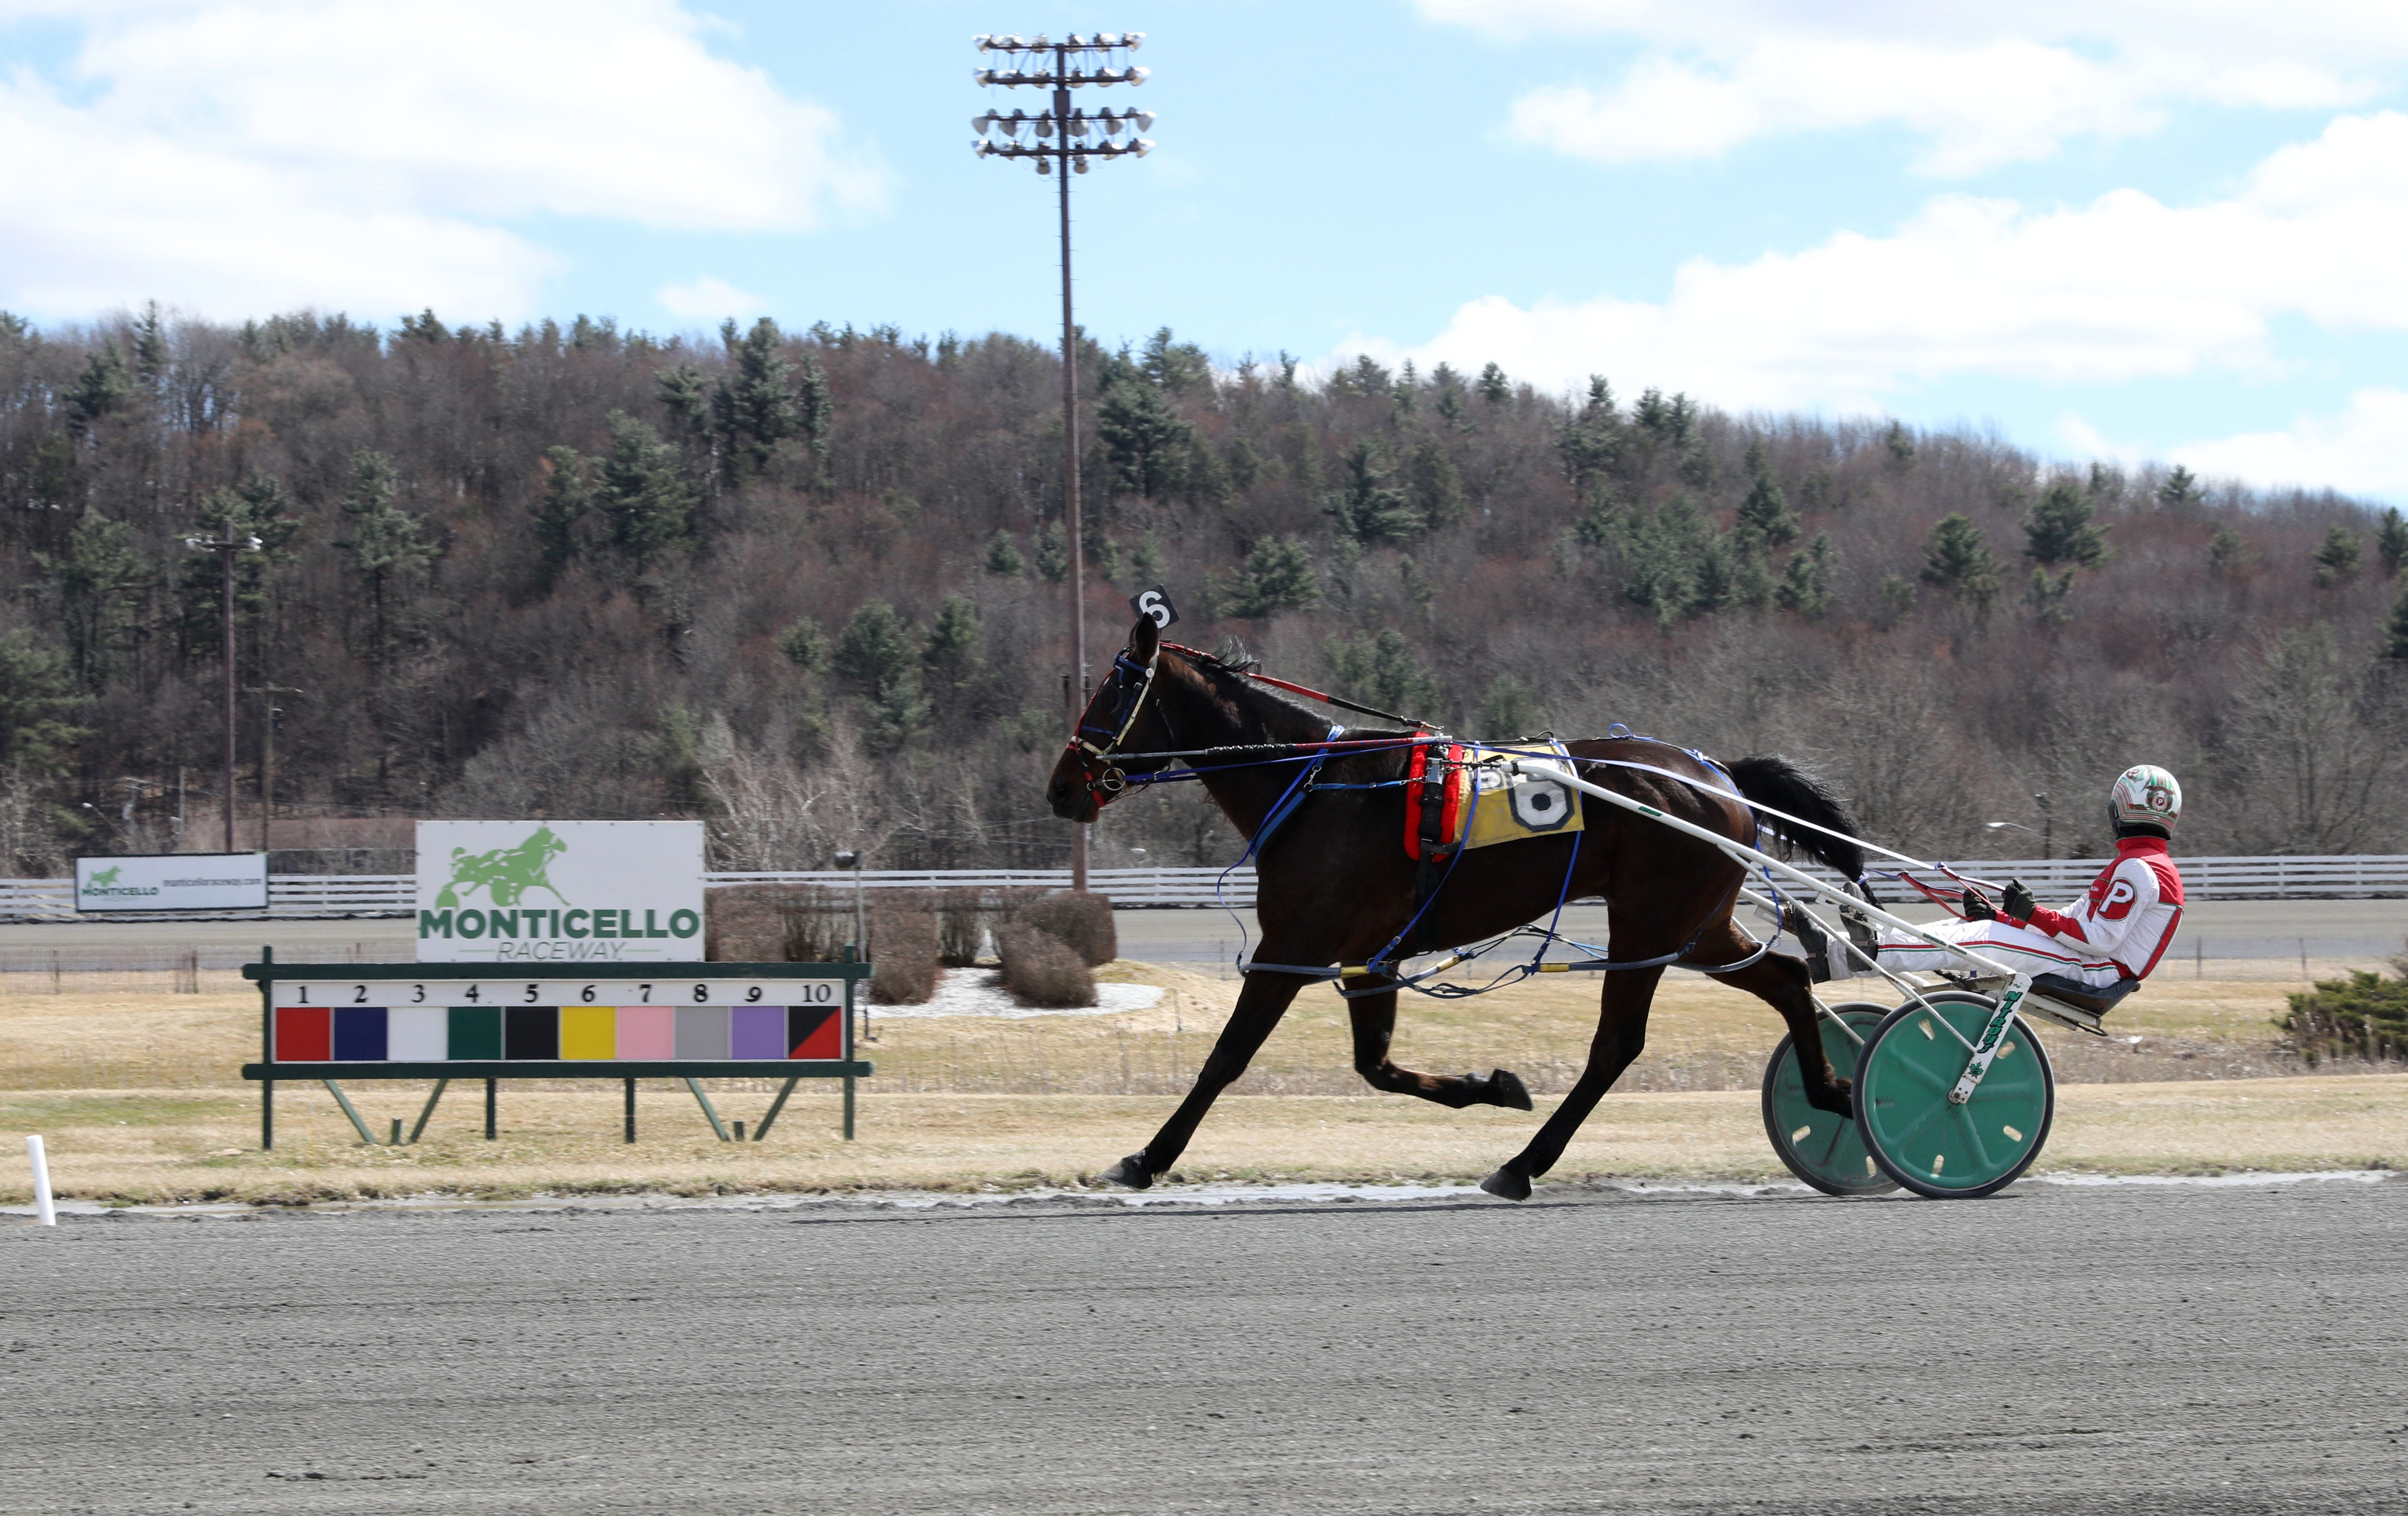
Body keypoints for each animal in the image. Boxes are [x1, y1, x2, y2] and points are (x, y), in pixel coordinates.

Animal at [1045, 611, 1868, 1208]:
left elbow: (1227, 1055)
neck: (1314, 787)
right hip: (1696, 929)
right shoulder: (1367, 955)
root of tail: (1717, 772)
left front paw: (1144, 1157)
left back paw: (1523, 1164)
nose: (1060, 786)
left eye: (1111, 692)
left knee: (1615, 1046)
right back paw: (1834, 1091)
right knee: (1788, 977)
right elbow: (1375, 1065)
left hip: (1649, 924)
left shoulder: (1293, 945)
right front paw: (1491, 1086)